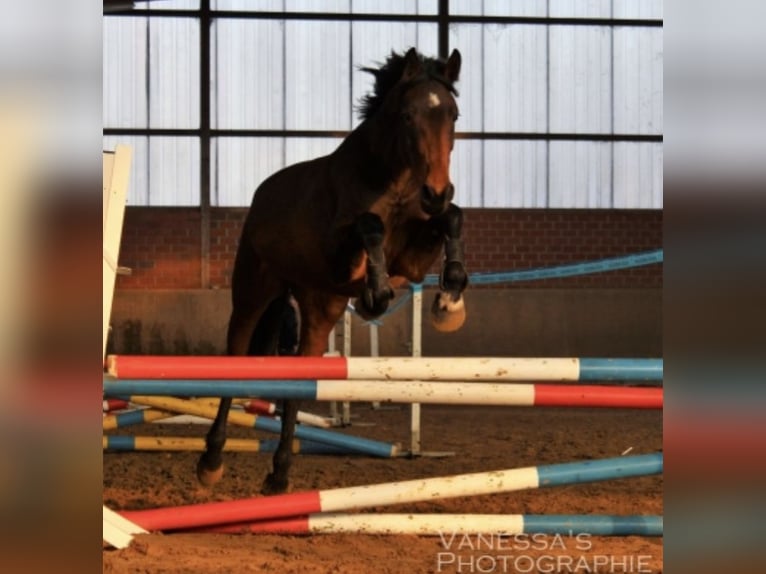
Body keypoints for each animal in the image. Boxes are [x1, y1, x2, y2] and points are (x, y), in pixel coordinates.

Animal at [196, 47, 474, 498]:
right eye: (408, 115)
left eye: (452, 114)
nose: (435, 191)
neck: (394, 184)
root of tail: (261, 197)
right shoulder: (340, 257)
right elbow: (369, 226)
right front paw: (376, 295)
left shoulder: (411, 261)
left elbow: (452, 217)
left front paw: (450, 299)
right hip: (254, 294)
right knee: (234, 360)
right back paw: (211, 461)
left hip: (318, 310)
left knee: (297, 385)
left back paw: (279, 475)